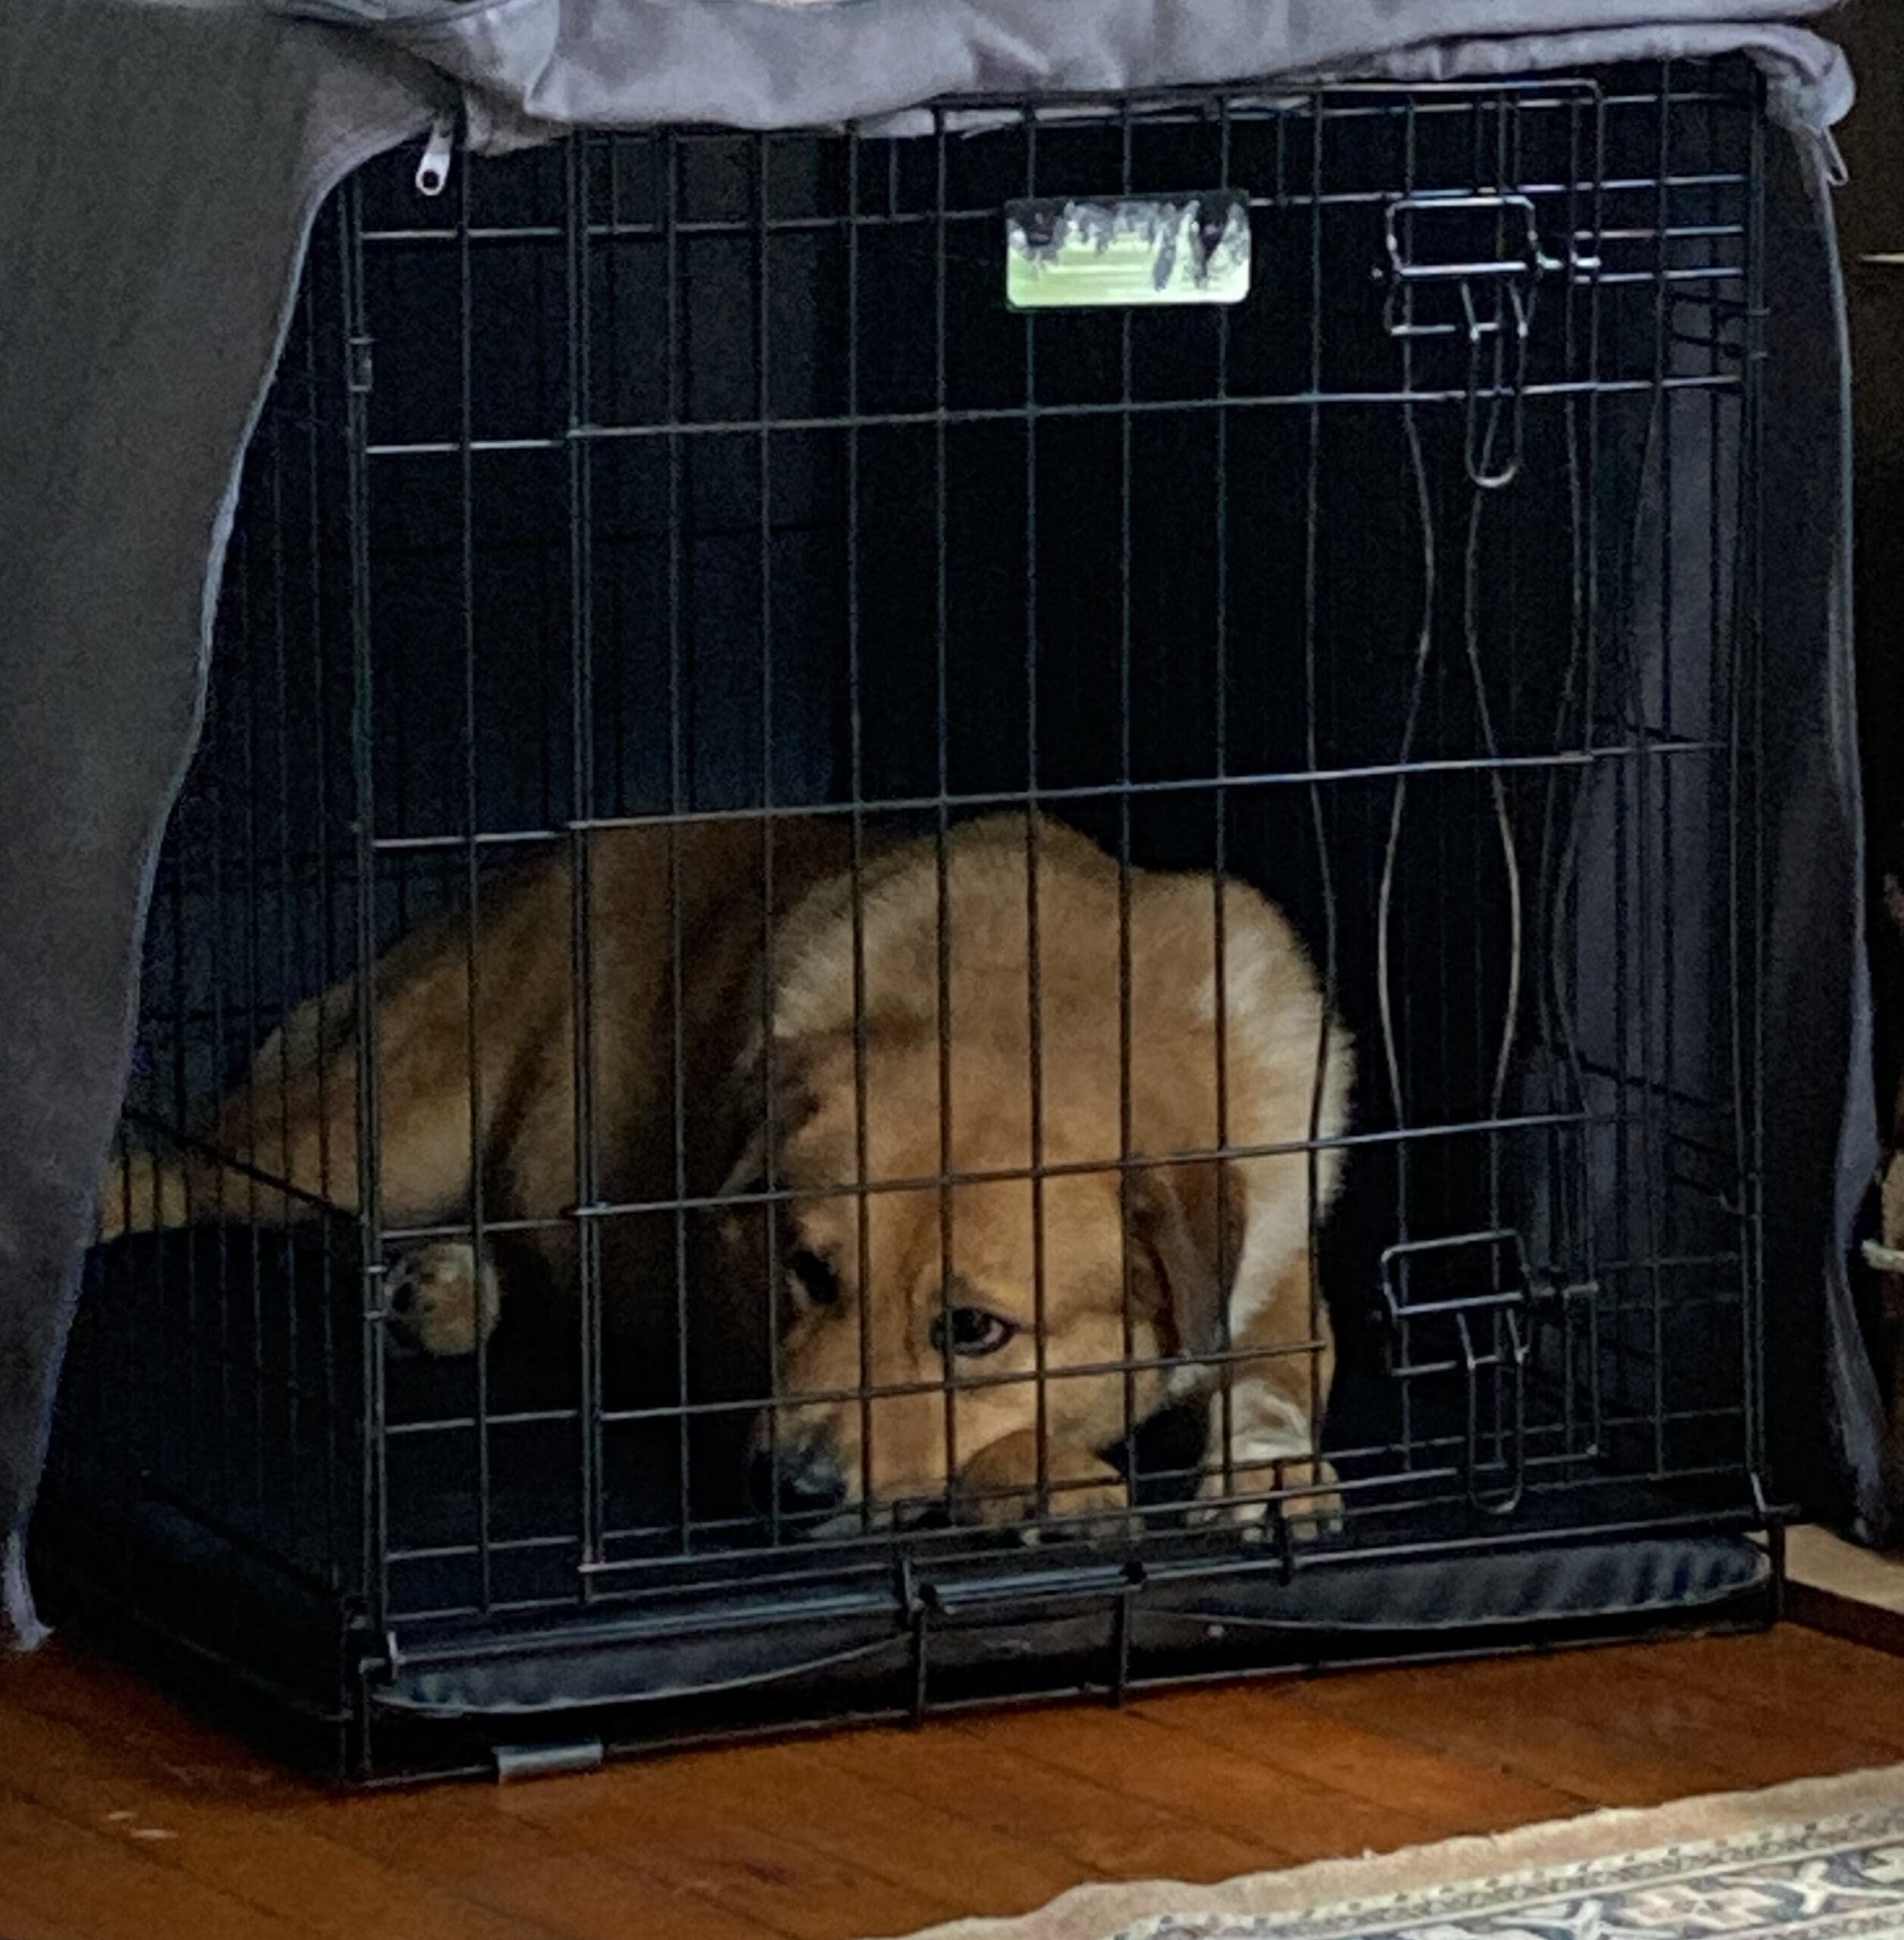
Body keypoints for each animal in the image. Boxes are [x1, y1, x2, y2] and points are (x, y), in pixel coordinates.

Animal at [104, 811, 1357, 1536]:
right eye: (806, 1271)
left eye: (971, 1328)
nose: (783, 1488)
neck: (1051, 1008)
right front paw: (1045, 1477)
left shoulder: (1276, 1252)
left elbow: (1279, 1365)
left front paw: (1268, 1469)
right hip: (377, 1137)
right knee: (189, 1165)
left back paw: (448, 1289)